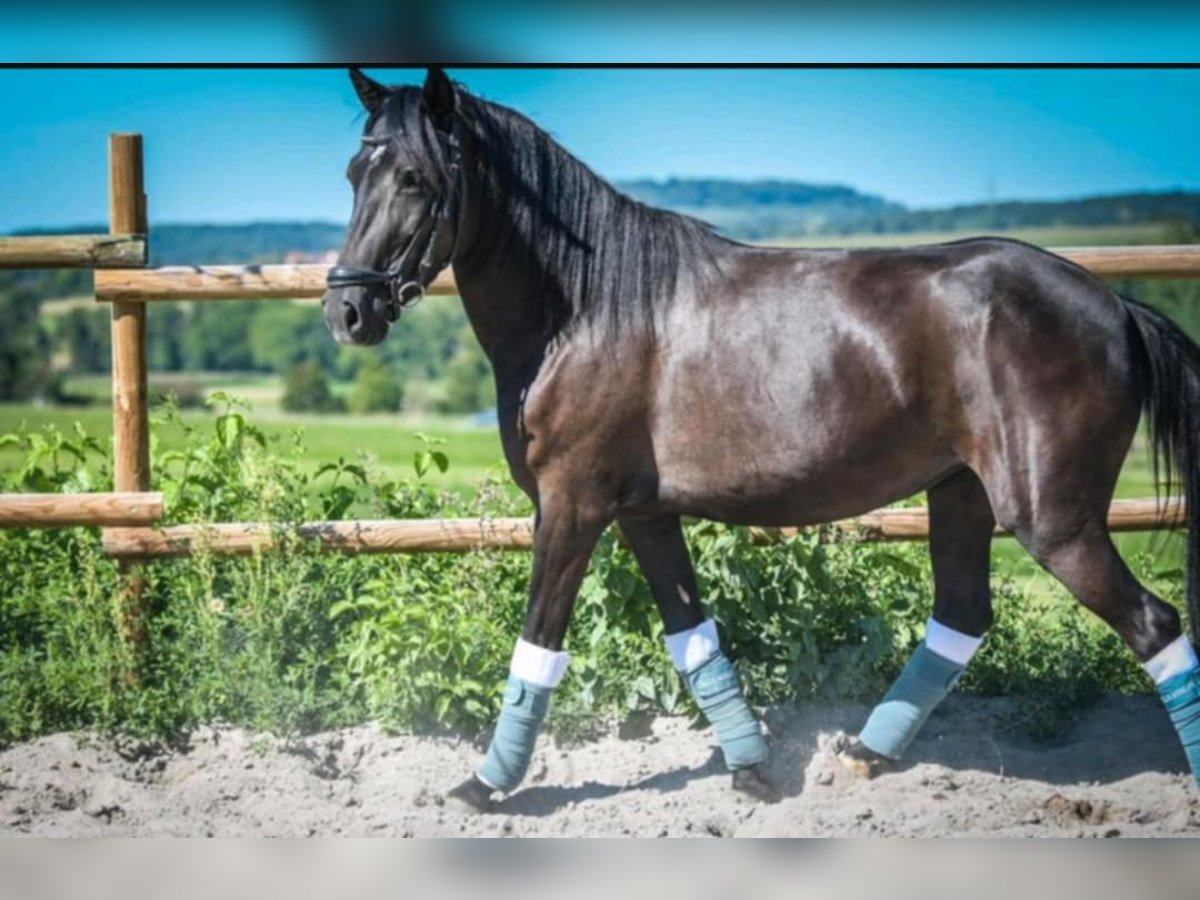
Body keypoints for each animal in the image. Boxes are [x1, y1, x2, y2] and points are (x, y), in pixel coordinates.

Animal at [324, 65, 1200, 811]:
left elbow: (538, 643)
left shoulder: (571, 508)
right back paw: (864, 755)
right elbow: (692, 636)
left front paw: (484, 786)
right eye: (355, 173)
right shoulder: (643, 513)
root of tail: (1116, 307)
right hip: (960, 497)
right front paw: (751, 770)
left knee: (1153, 625)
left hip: (1053, 519)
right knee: (962, 617)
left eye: (416, 177)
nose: (347, 311)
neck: (583, 309)